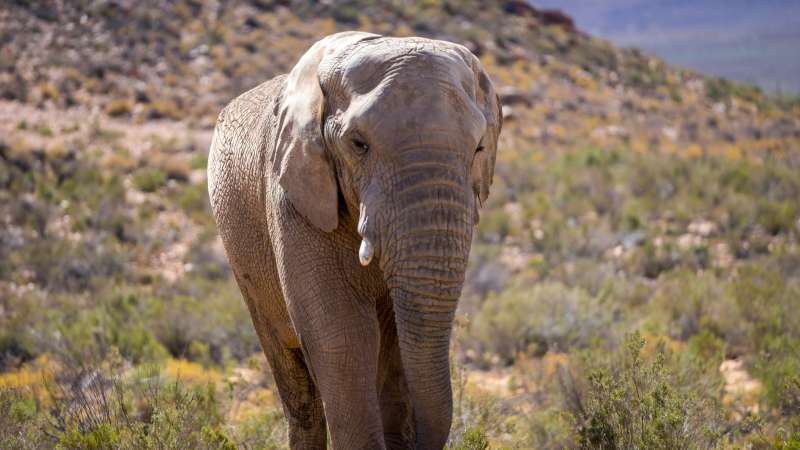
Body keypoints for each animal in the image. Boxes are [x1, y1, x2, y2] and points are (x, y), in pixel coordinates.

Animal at [207, 31, 501, 449]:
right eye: (358, 144)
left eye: (478, 148)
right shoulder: (294, 192)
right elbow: (342, 337)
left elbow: (394, 345)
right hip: (241, 257)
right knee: (294, 380)